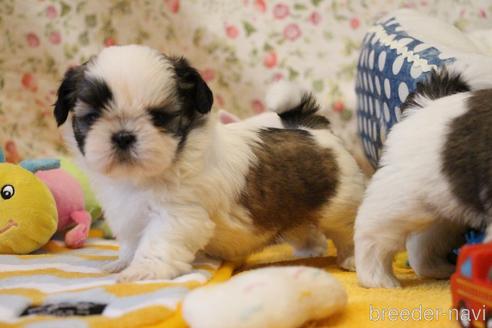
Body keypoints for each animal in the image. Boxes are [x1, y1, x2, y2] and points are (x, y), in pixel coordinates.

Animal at [54, 44, 366, 282]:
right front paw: (123, 261)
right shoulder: (128, 213)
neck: (145, 177)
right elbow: (132, 240)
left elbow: (157, 242)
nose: (123, 136)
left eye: (159, 117)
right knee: (303, 229)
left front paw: (145, 270)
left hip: (339, 204)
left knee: (347, 229)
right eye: (92, 117)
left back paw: (352, 258)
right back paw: (310, 250)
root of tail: (311, 129)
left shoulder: (177, 214)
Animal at [356, 57, 492, 288]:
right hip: (401, 200)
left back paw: (437, 269)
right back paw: (378, 279)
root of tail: (427, 103)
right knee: (371, 231)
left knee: (423, 242)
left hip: (445, 203)